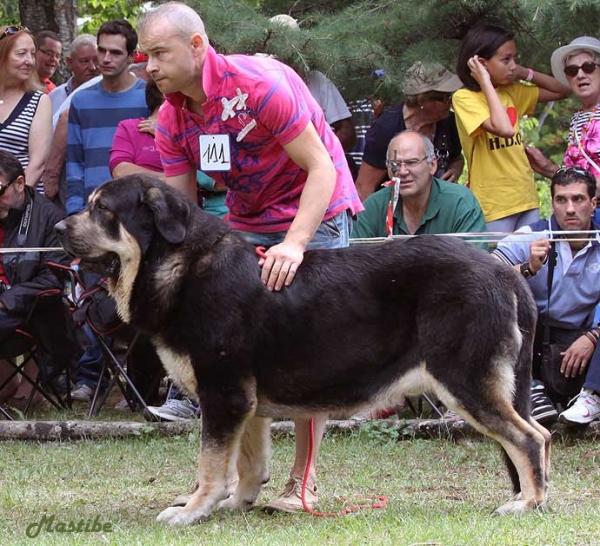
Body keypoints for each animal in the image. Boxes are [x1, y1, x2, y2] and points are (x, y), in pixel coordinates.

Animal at [54, 174, 552, 524]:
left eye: (102, 209)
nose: (57, 226)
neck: (184, 265)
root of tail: (502, 271)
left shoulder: (223, 395)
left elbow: (211, 464)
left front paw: (193, 510)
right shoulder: (247, 404)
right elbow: (249, 464)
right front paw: (237, 504)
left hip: (465, 379)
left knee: (529, 438)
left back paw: (527, 504)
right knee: (535, 436)